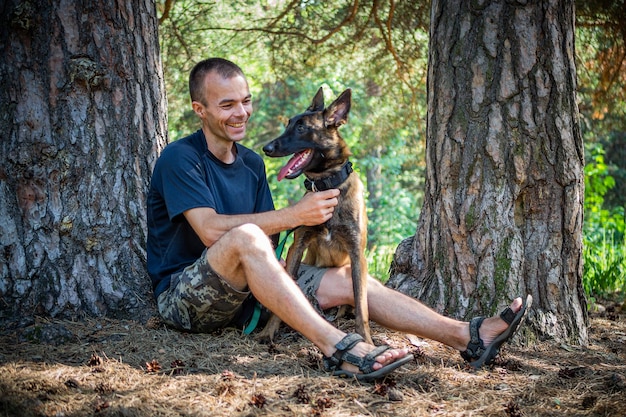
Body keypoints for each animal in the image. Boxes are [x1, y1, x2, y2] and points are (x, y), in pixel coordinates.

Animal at [258, 86, 370, 342]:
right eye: (288, 123)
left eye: (301, 128)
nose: (266, 148)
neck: (327, 185)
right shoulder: (297, 246)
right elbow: (285, 292)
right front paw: (269, 331)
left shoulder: (357, 254)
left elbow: (361, 305)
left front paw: (367, 340)